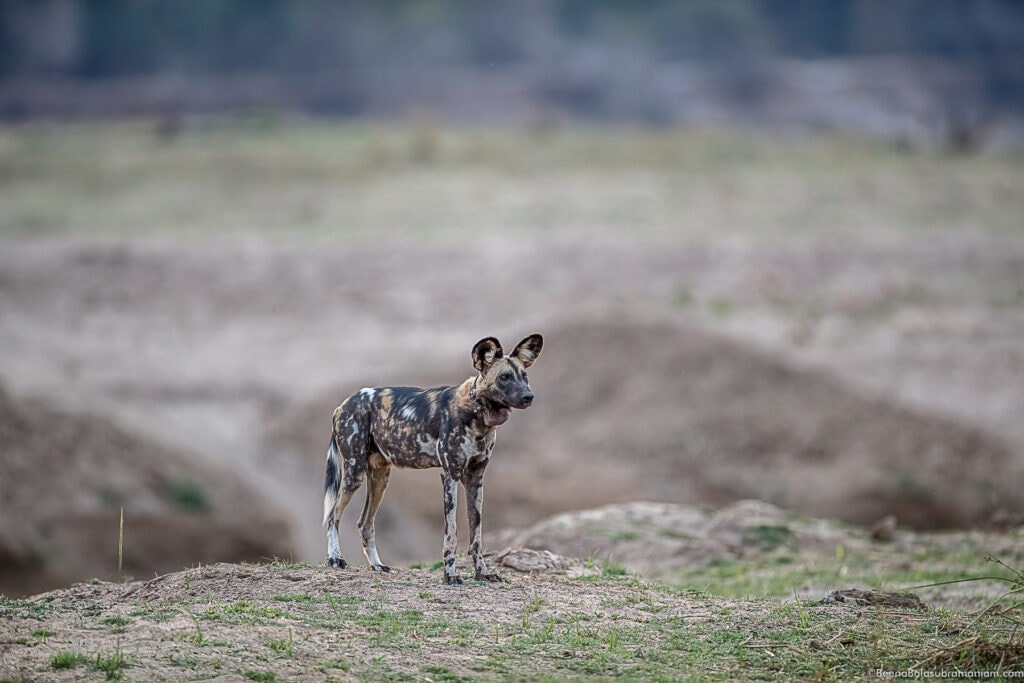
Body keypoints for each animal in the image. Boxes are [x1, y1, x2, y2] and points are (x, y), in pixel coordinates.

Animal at [323, 333, 540, 585]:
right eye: (504, 377)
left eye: (525, 376)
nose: (528, 397)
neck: (477, 413)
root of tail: (344, 403)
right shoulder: (450, 475)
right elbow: (451, 532)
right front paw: (450, 575)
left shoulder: (476, 479)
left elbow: (476, 534)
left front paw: (482, 573)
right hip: (354, 474)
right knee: (333, 516)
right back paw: (335, 559)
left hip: (380, 478)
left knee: (365, 523)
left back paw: (377, 565)